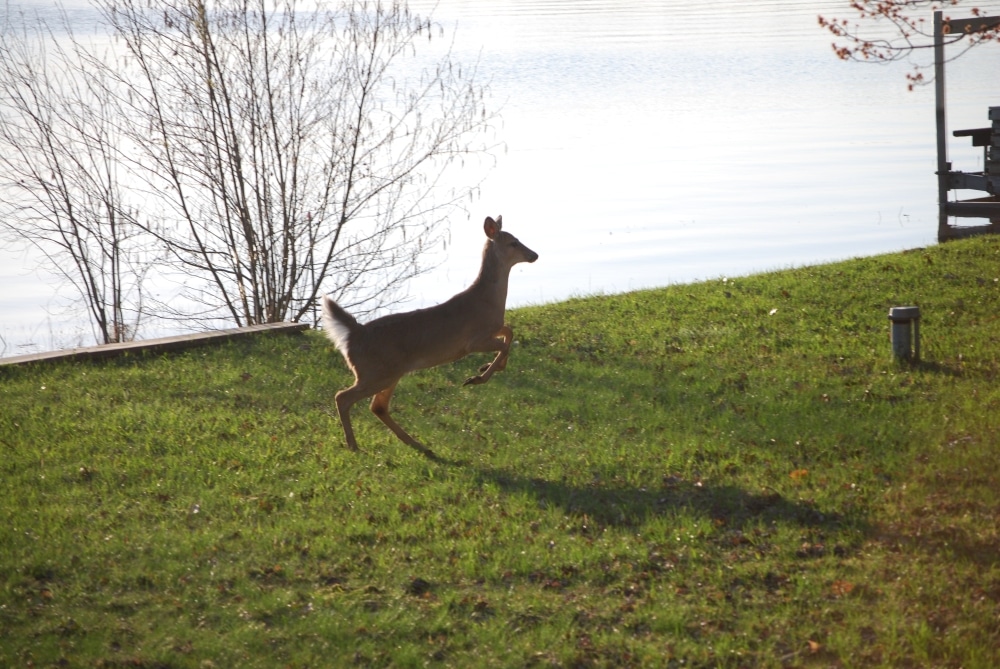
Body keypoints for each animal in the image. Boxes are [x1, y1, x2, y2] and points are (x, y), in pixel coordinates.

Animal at [322, 215, 538, 456]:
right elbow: (504, 345)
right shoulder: (472, 341)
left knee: (377, 406)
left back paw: (419, 445)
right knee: (343, 397)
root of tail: (353, 334)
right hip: (375, 372)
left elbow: (509, 333)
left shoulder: (493, 328)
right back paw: (354, 445)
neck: (489, 300)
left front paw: (486, 368)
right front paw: (478, 377)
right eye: (513, 243)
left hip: (389, 373)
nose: (534, 255)